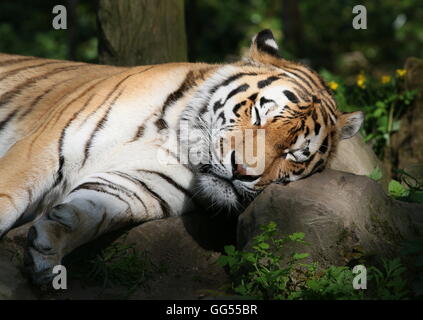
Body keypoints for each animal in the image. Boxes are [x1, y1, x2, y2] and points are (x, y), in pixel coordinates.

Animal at [0, 30, 364, 284]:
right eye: (259, 115)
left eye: (294, 154)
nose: (242, 171)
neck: (175, 135)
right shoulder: (41, 150)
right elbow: (8, 199)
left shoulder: (137, 185)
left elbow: (88, 211)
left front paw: (47, 247)